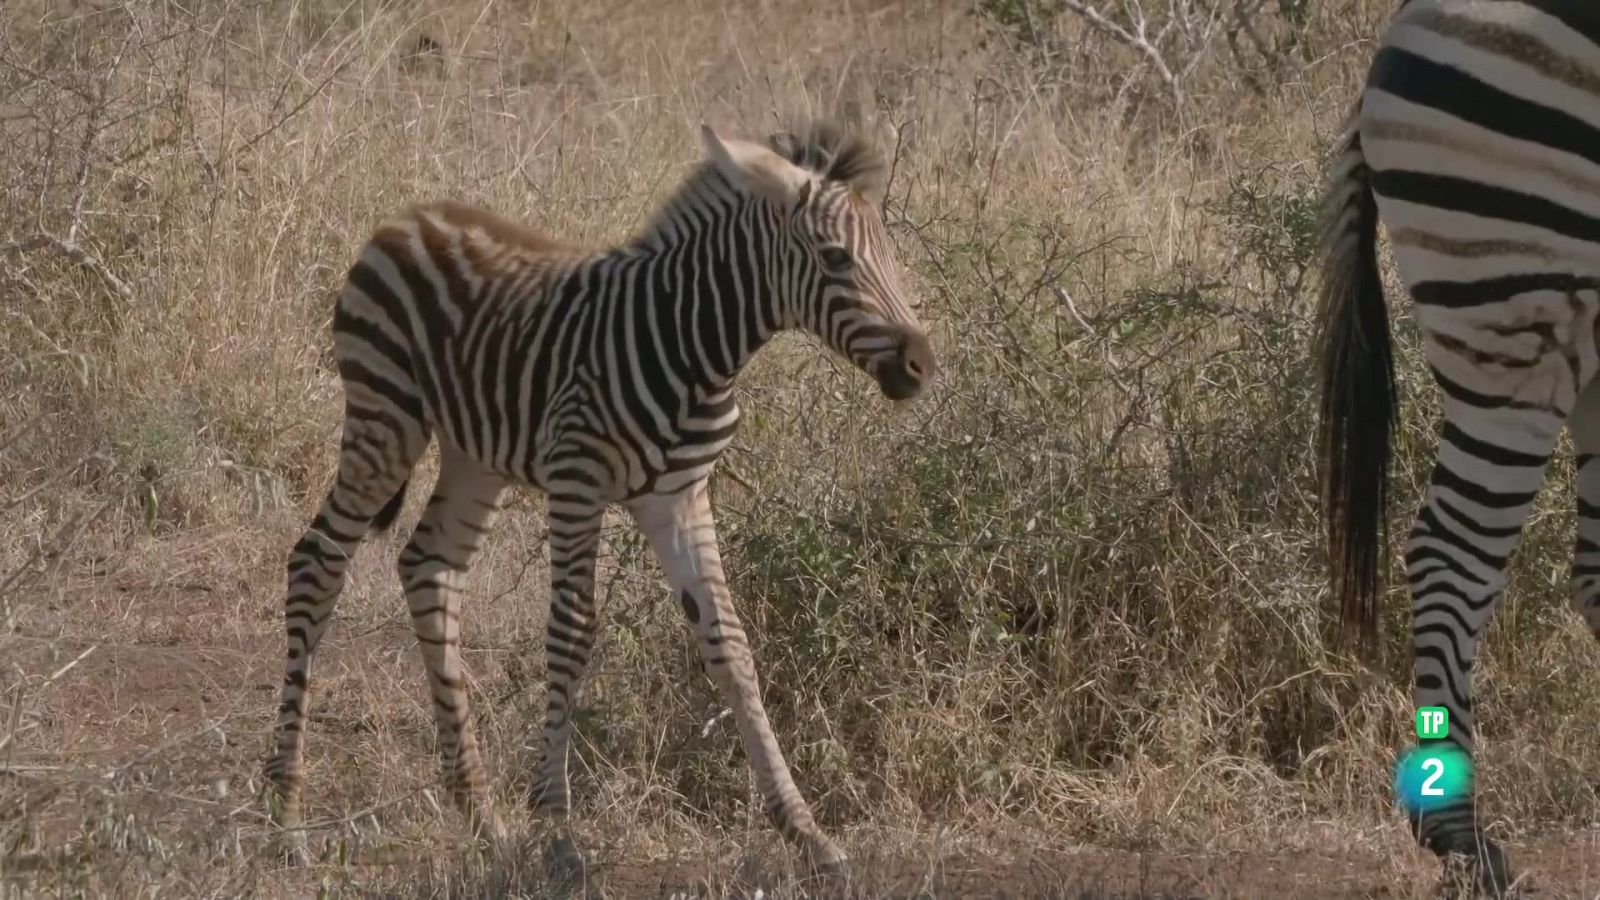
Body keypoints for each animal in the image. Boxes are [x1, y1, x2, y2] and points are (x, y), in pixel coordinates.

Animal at [260, 119, 935, 880]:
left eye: (891, 257)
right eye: (835, 258)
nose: (921, 364)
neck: (695, 344)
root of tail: (405, 218)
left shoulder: (680, 496)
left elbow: (730, 642)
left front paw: (806, 832)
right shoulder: (578, 480)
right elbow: (572, 634)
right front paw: (556, 831)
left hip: (473, 455)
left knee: (429, 567)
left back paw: (480, 813)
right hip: (387, 416)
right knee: (317, 562)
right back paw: (287, 816)